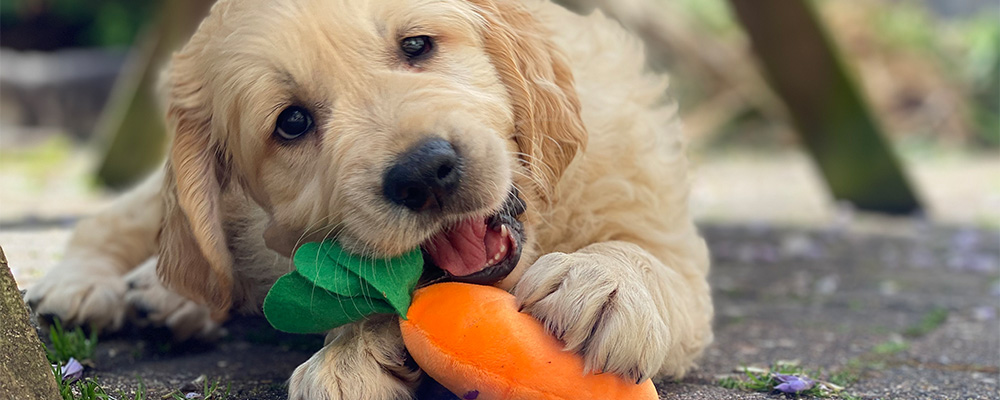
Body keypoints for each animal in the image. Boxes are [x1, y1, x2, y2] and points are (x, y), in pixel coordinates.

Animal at [23, 0, 712, 396]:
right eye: (292, 122)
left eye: (417, 46)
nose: (426, 174)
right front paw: (349, 356)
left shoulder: (658, 220)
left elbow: (648, 257)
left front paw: (605, 284)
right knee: (138, 231)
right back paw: (85, 287)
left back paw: (164, 296)